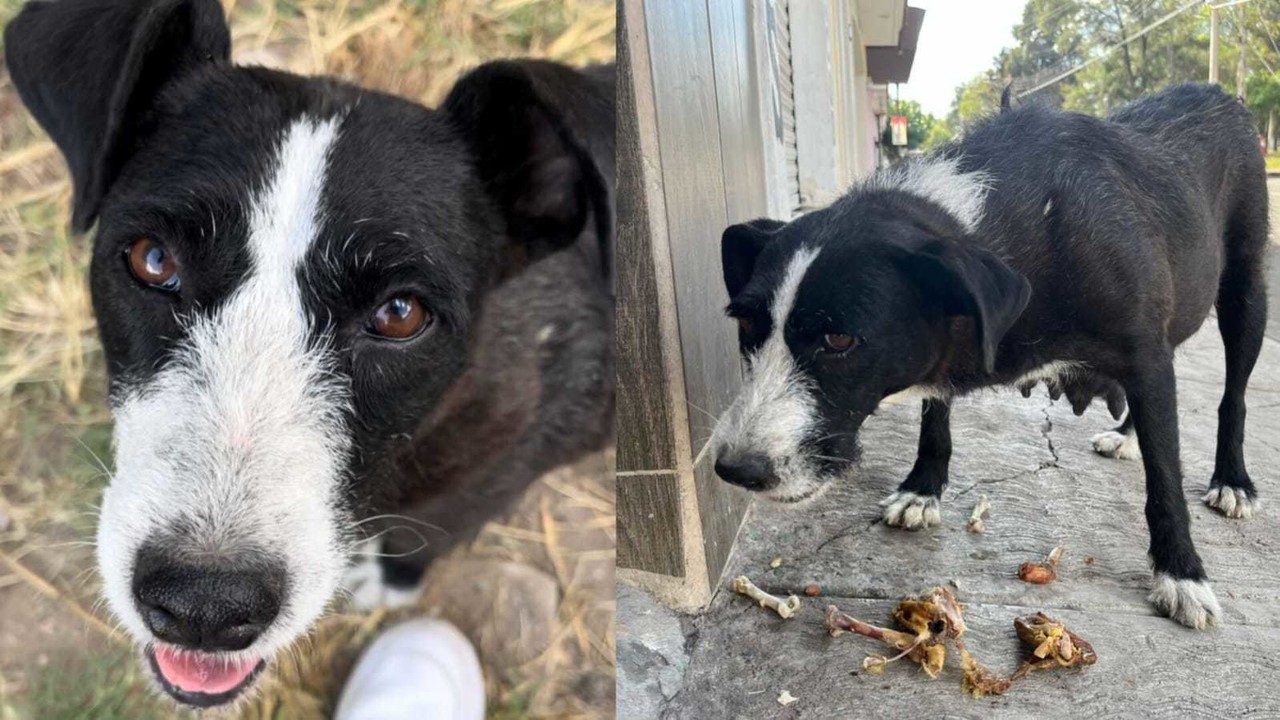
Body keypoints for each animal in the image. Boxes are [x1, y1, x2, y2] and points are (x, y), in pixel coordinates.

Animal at [6, 0, 614, 707]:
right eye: (152, 260)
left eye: (401, 314)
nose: (203, 608)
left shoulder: (498, 472)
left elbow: (428, 531)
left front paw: (390, 578)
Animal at [716, 83, 1264, 627]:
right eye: (745, 322)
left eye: (839, 340)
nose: (735, 470)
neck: (1035, 219)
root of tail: (1215, 92)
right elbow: (935, 413)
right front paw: (923, 488)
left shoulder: (1146, 357)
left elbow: (1166, 478)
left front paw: (1182, 573)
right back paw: (1129, 435)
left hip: (1246, 294)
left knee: (1232, 397)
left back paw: (1232, 480)